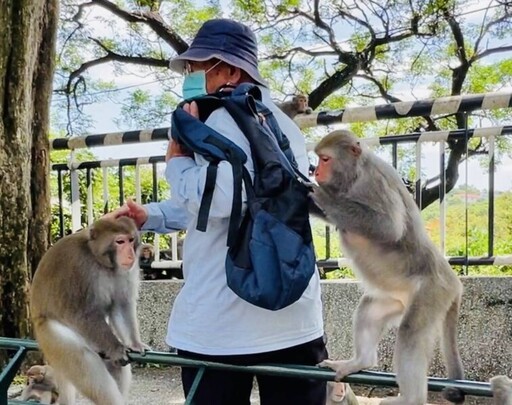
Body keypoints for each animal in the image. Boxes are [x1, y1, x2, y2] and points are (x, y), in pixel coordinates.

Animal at [30, 216, 148, 404]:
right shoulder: (78, 267)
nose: (130, 254)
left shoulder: (125, 271)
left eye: (131, 240)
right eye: (120, 241)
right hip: (52, 340)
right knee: (86, 364)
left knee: (114, 368)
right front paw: (116, 348)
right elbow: (82, 314)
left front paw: (135, 344)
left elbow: (120, 305)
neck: (98, 259)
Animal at [310, 130, 466, 404]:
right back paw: (360, 361)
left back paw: (410, 398)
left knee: (410, 333)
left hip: (433, 292)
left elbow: (389, 227)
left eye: (325, 159)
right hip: (398, 298)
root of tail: (454, 281)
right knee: (369, 309)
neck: (355, 174)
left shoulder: (374, 184)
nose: (316, 171)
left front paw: (325, 196)